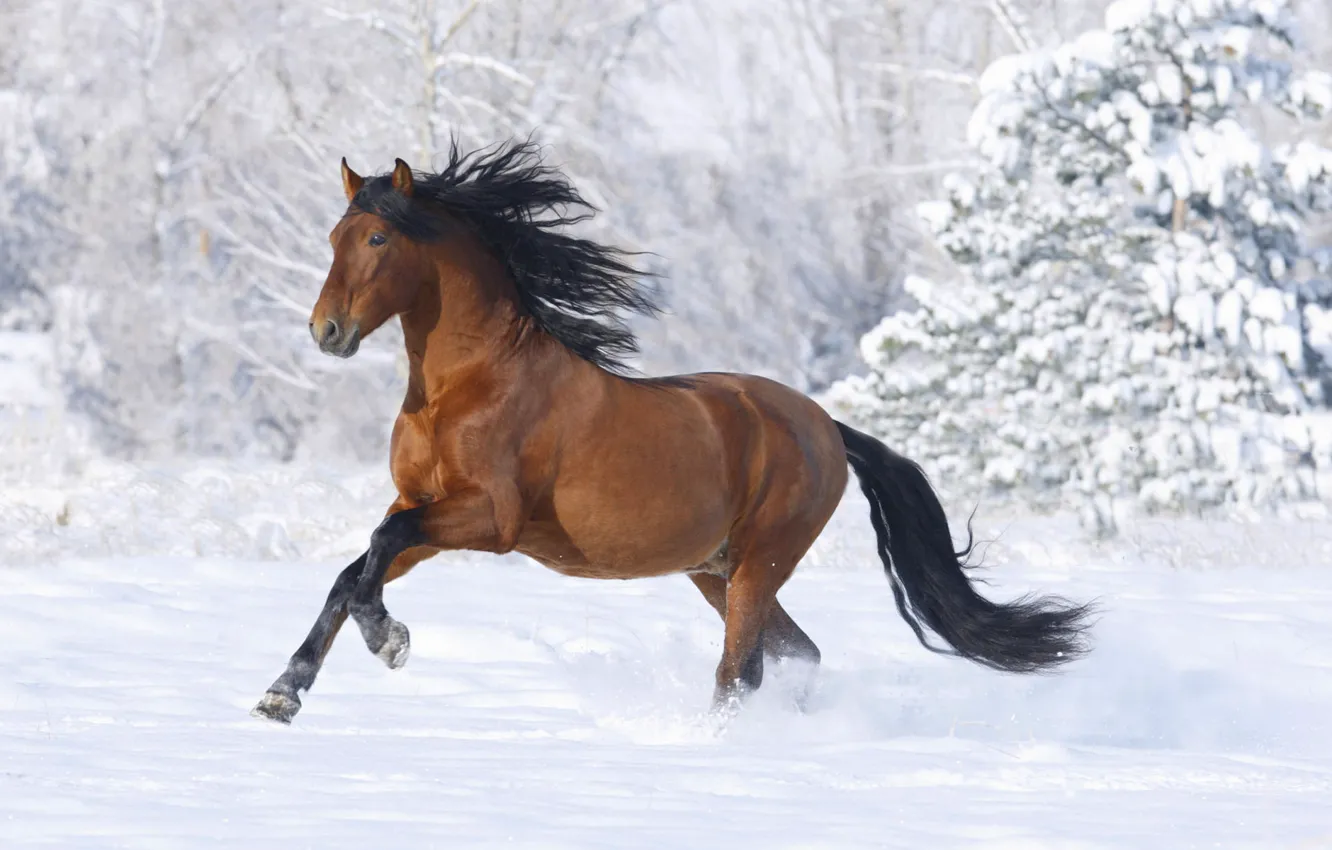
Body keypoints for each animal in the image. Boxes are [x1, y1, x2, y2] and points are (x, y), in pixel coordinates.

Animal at [252, 141, 1091, 724]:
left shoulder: (489, 519)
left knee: (740, 669)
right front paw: (283, 693)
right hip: (715, 570)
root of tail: (824, 425)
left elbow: (374, 553)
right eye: (333, 237)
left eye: (378, 241)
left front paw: (389, 641)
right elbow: (353, 570)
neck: (469, 385)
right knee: (795, 653)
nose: (326, 331)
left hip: (760, 563)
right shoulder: (420, 506)